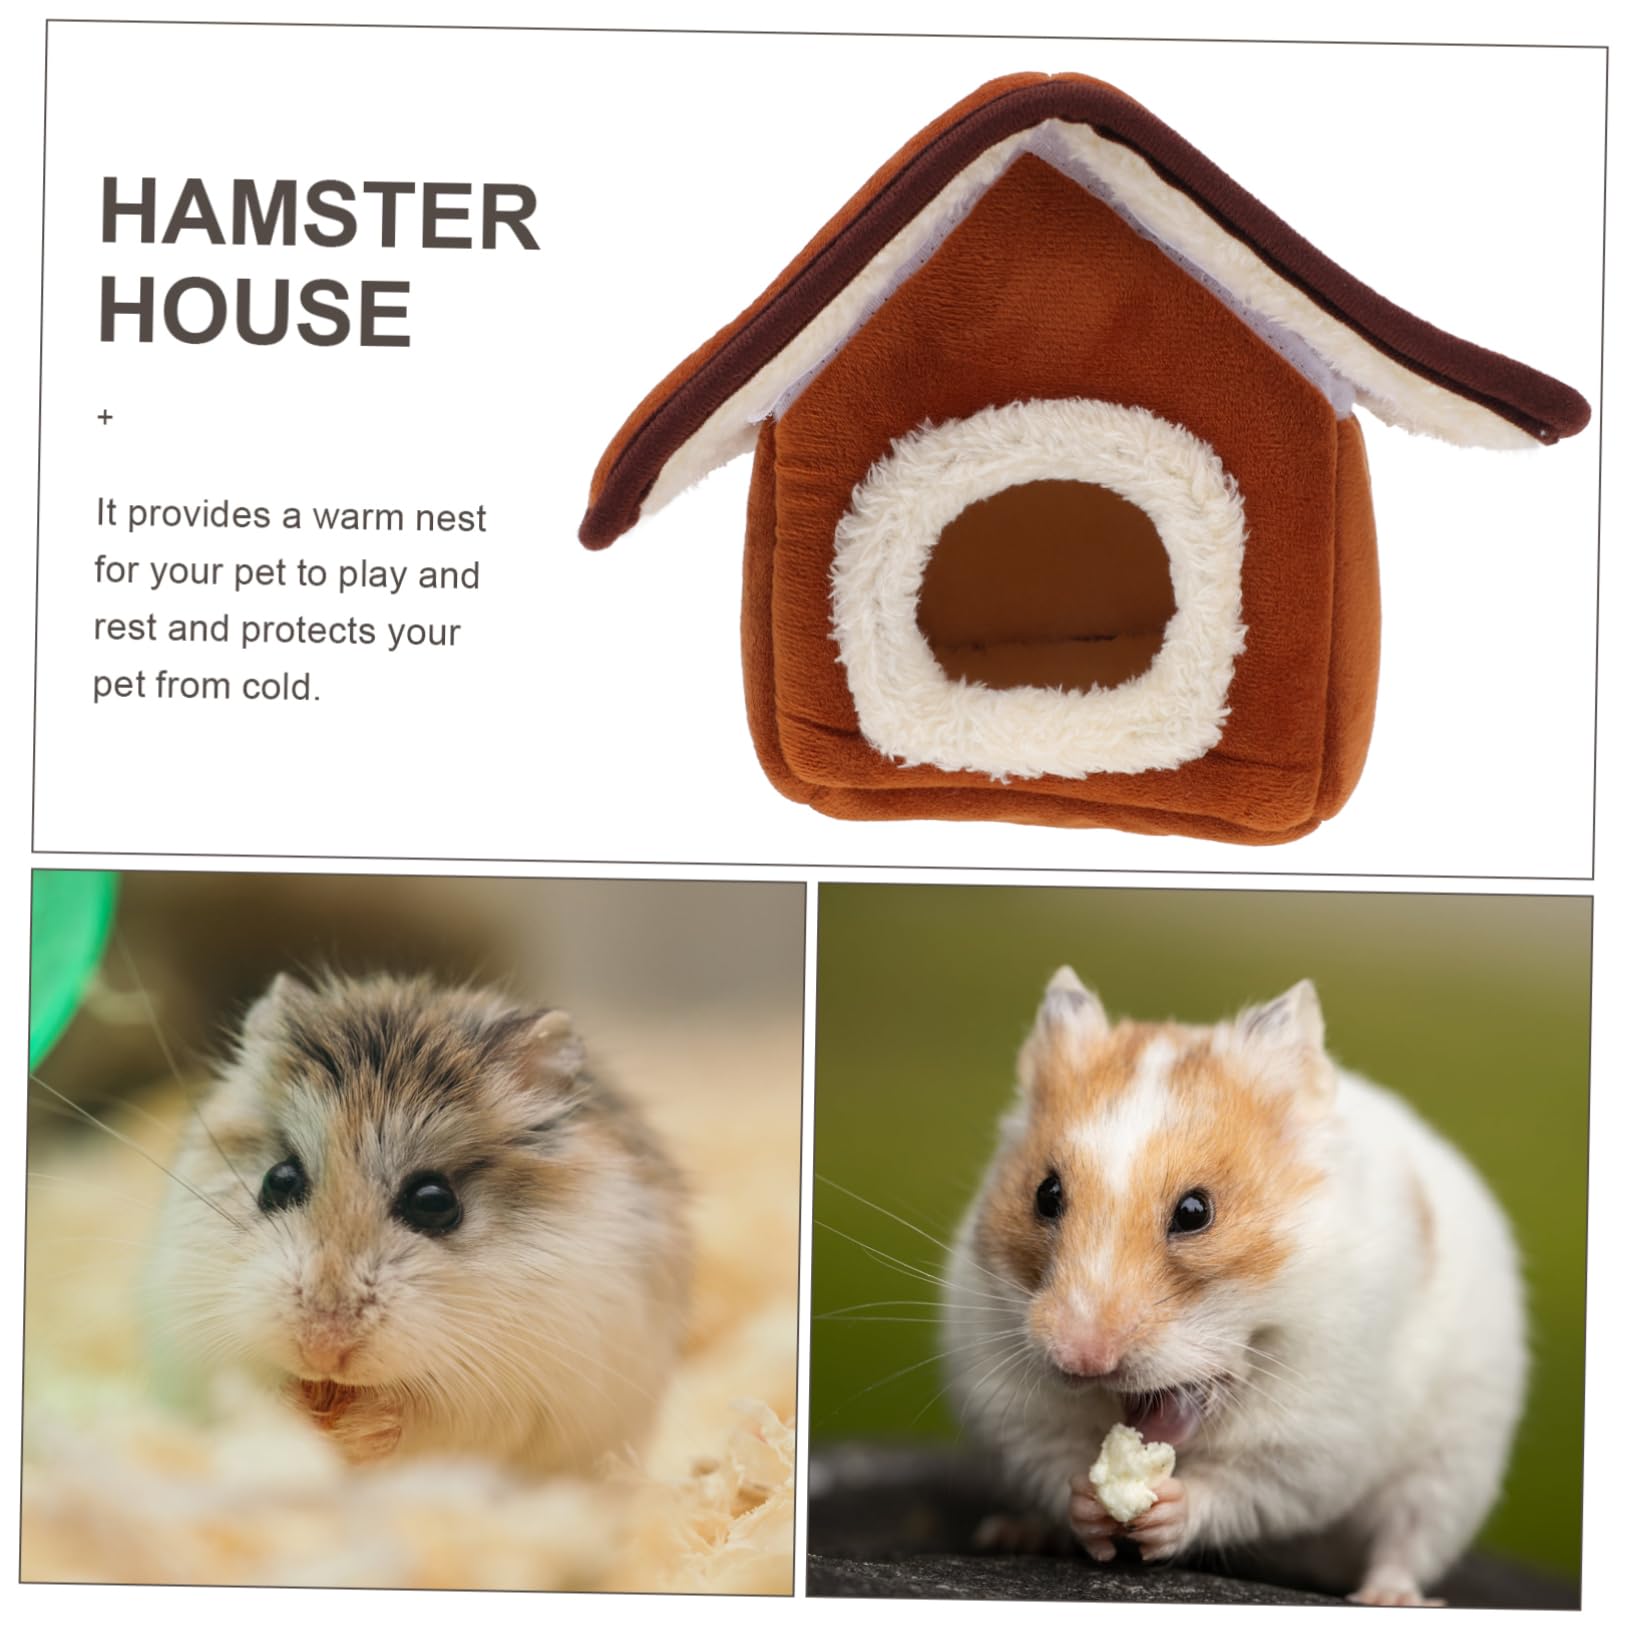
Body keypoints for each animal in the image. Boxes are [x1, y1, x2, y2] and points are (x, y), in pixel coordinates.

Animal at [146, 971, 690, 1474]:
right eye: (278, 1180)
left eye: (434, 1202)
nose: (322, 1351)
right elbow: (247, 1392)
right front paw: (300, 1414)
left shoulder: (513, 1394)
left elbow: (422, 1420)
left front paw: (356, 1429)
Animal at [944, 968, 1526, 1607]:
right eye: (1045, 1194)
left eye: (1195, 1211)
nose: (1083, 1360)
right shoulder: (1015, 1408)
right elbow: (1059, 1466)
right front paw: (1091, 1506)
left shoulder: (1314, 1437)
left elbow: (1238, 1488)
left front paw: (1163, 1508)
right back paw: (1012, 1533)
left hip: (1451, 1468)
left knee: (1406, 1539)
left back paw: (1386, 1597)